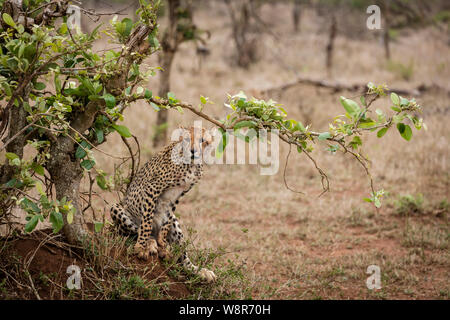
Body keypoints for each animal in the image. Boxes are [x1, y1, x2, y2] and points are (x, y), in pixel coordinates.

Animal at [110, 126, 216, 282]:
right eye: (186, 139)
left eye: (202, 140)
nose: (193, 151)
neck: (191, 165)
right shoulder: (153, 188)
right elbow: (146, 222)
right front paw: (141, 247)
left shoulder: (178, 195)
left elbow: (167, 219)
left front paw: (163, 242)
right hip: (117, 209)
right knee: (136, 229)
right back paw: (150, 243)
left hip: (176, 225)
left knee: (183, 257)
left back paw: (198, 270)